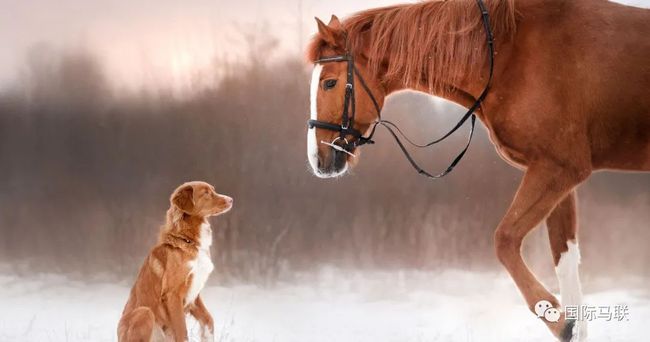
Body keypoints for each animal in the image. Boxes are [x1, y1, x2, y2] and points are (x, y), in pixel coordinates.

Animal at [117, 180, 233, 340]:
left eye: (213, 190)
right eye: (206, 193)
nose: (231, 199)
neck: (189, 241)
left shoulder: (194, 294)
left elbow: (208, 320)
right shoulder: (173, 295)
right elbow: (182, 332)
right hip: (144, 312)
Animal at [306, 0, 648, 340]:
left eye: (329, 82)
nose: (318, 159)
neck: (510, 52)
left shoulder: (559, 169)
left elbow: (505, 240)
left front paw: (554, 314)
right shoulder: (560, 178)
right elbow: (564, 260)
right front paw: (570, 324)